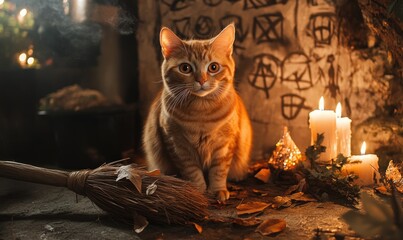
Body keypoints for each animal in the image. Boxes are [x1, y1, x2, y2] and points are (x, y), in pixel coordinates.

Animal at [144, 23, 252, 201]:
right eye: (185, 68)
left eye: (213, 67)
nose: (201, 80)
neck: (201, 114)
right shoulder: (178, 146)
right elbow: (191, 172)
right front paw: (198, 190)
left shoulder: (225, 145)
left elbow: (219, 170)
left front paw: (217, 190)